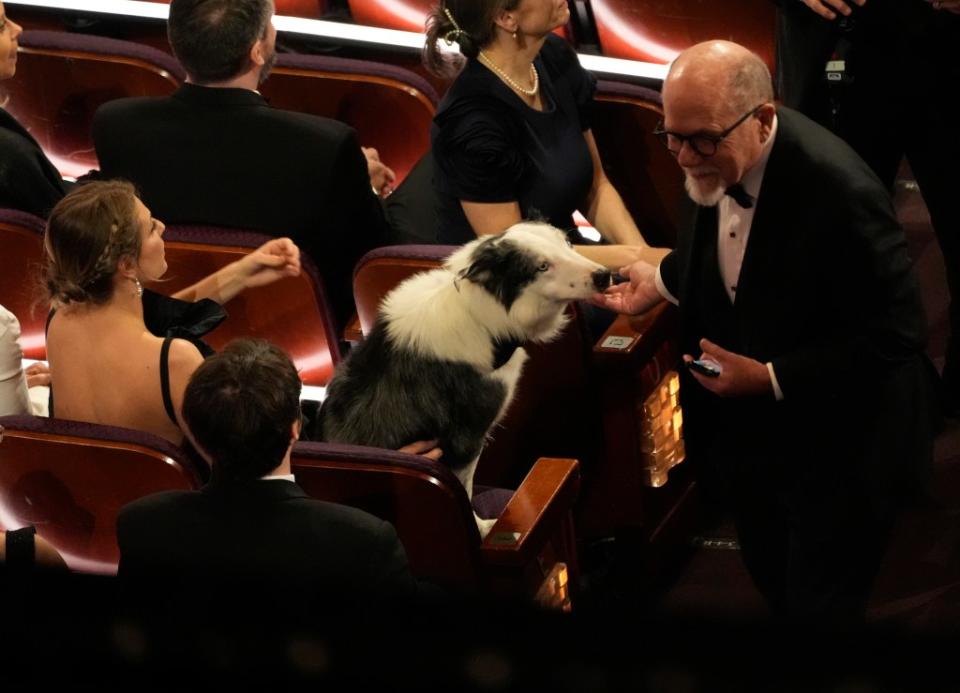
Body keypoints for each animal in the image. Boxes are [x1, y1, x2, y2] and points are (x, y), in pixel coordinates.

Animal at [318, 222, 612, 536]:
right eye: (542, 266)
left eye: (567, 243)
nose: (604, 275)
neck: (478, 316)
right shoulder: (465, 441)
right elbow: (464, 492)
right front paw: (481, 530)